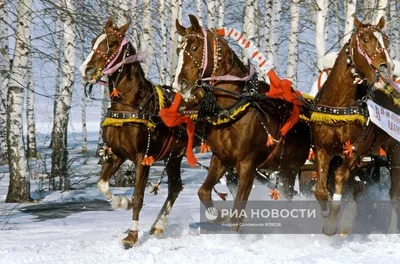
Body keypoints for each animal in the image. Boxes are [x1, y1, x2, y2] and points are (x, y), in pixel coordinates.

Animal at [78, 18, 214, 248]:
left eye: (112, 43)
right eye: (94, 40)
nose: (86, 69)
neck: (132, 104)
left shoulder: (143, 157)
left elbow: (138, 197)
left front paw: (132, 236)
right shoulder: (117, 153)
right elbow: (102, 184)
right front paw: (121, 202)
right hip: (174, 155)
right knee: (175, 187)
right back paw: (158, 224)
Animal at [172, 14, 310, 229]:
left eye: (194, 47)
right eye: (179, 50)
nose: (179, 84)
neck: (233, 108)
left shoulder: (248, 165)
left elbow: (238, 210)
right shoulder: (221, 158)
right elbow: (203, 192)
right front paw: (218, 216)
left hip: (289, 169)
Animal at [312, 16, 400, 235]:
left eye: (386, 41)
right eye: (365, 39)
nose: (387, 66)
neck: (339, 105)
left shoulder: (355, 149)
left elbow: (341, 176)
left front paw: (333, 220)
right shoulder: (322, 148)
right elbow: (321, 189)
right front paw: (325, 211)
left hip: (395, 154)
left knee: (394, 194)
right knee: (360, 186)